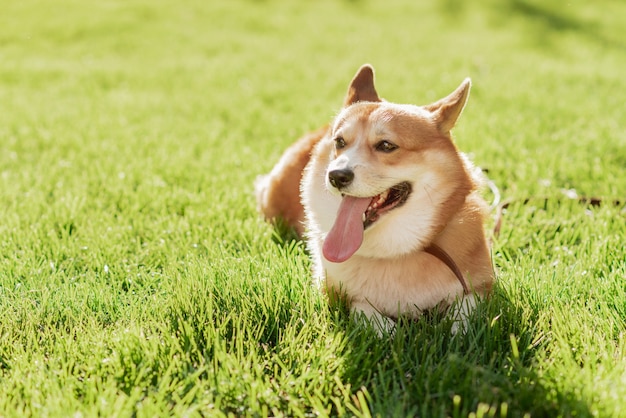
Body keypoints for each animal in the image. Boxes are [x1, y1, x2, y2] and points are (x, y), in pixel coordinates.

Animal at [254, 64, 492, 334]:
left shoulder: (483, 287)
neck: (396, 253)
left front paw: (453, 331)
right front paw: (392, 332)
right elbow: (366, 312)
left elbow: (465, 311)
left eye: (386, 145)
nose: (336, 175)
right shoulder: (336, 296)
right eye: (340, 142)